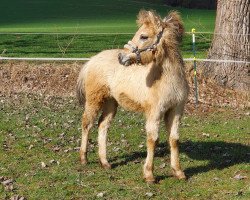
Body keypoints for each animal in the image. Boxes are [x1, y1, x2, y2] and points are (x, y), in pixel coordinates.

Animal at [77, 10, 188, 183]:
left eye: (143, 36)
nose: (121, 57)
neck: (168, 79)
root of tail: (91, 60)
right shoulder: (154, 112)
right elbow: (152, 139)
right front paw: (149, 175)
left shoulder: (176, 110)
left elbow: (174, 139)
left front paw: (178, 171)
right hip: (94, 100)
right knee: (86, 124)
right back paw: (84, 158)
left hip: (111, 103)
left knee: (102, 125)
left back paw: (105, 162)